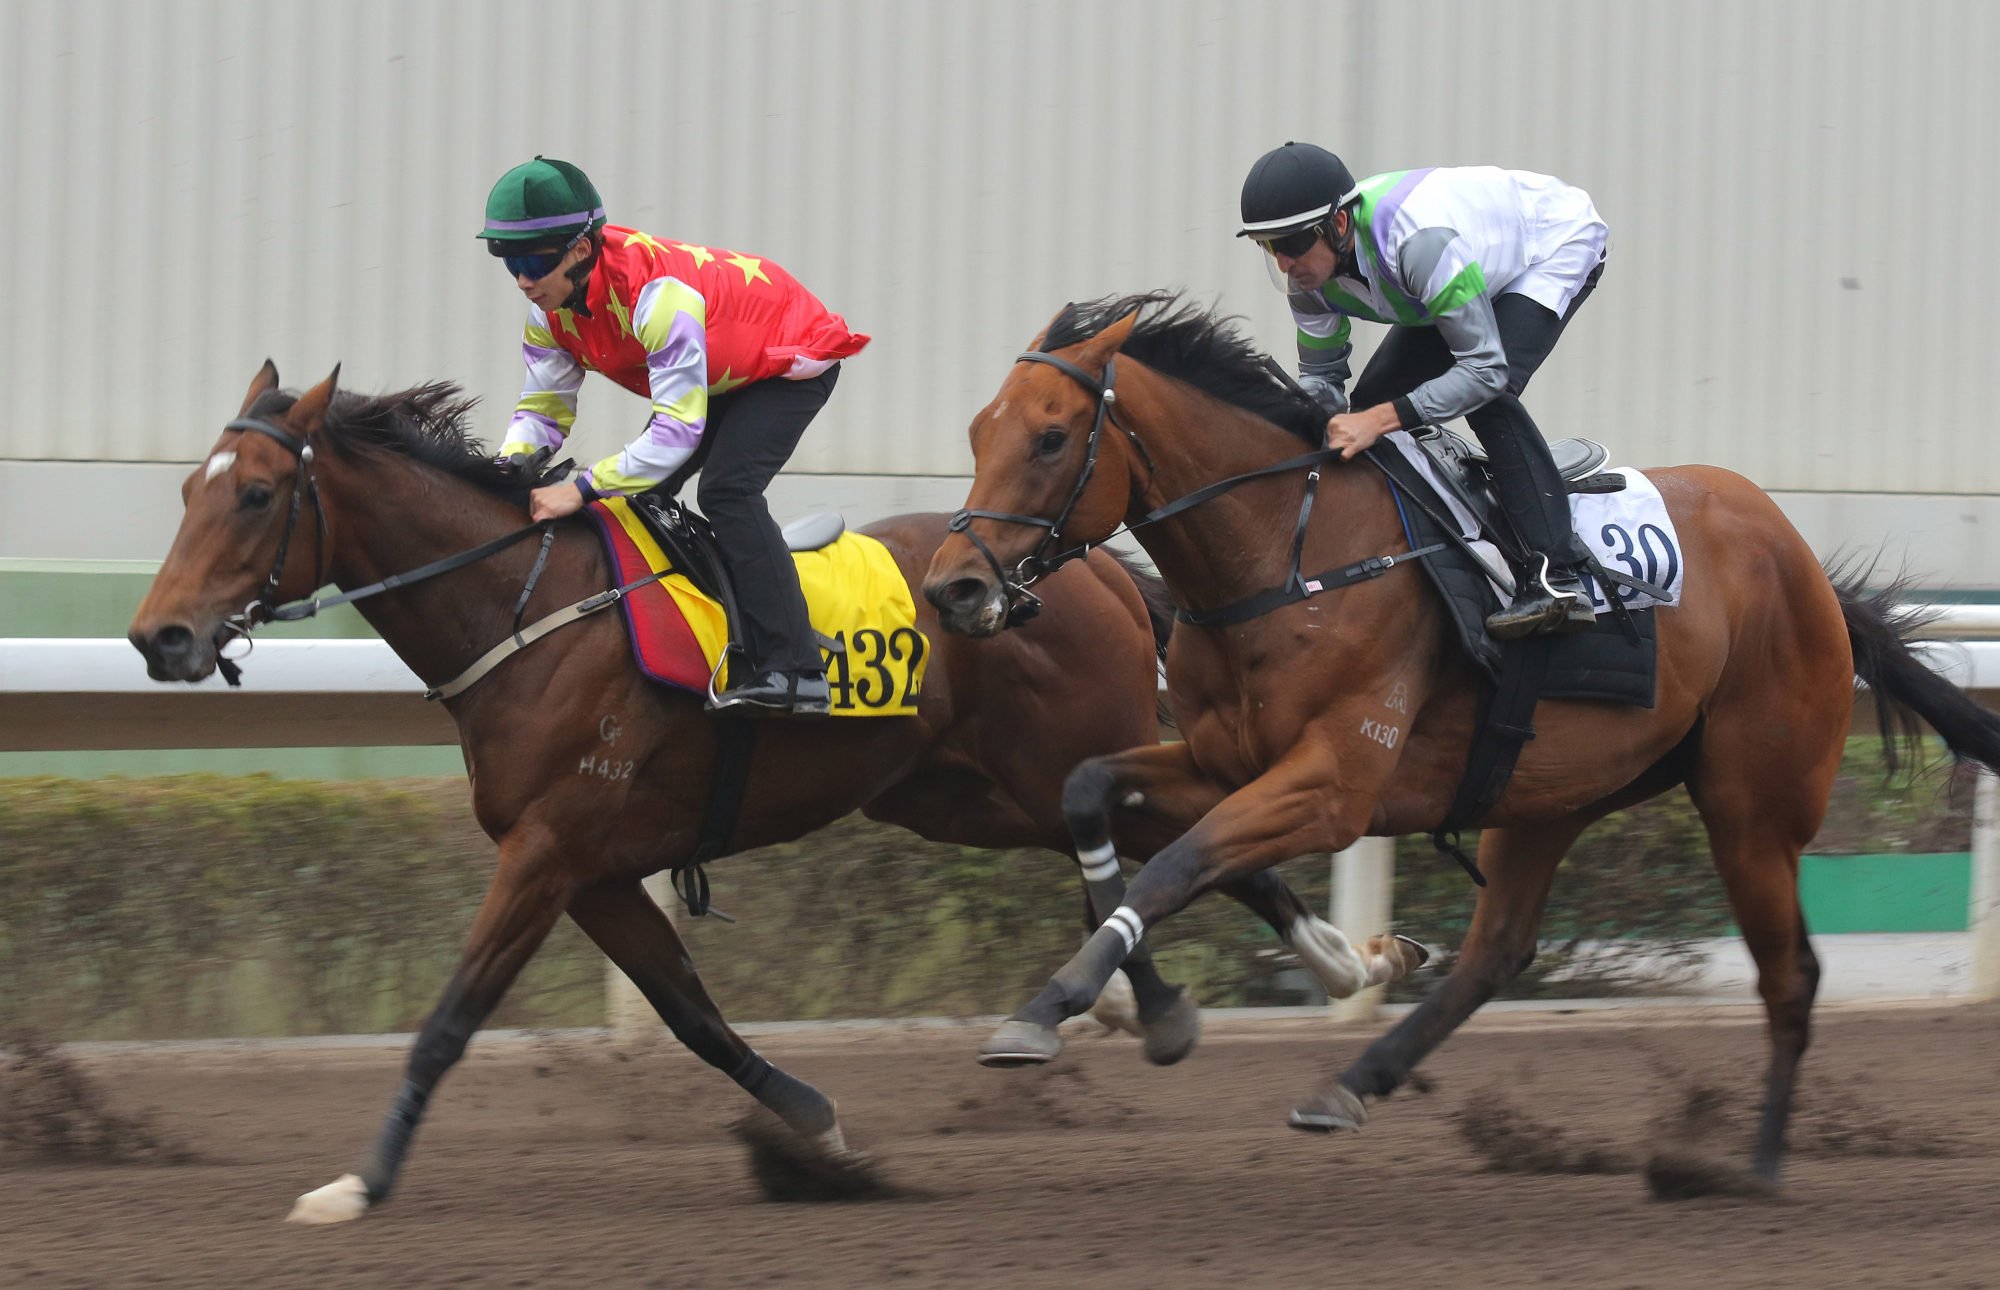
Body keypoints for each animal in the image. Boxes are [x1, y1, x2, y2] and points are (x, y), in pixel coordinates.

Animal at [129, 360, 1424, 1216]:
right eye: (187, 492)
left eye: (254, 495)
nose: (160, 637)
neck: (524, 610)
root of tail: (1090, 561)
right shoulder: (592, 869)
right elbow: (690, 1014)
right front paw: (815, 1129)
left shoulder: (548, 850)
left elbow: (449, 1019)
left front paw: (357, 1183)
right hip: (957, 794)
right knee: (1139, 836)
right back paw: (1278, 972)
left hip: (1044, 752)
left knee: (1171, 831)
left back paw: (1297, 969)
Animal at [920, 296, 2000, 1184]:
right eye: (977, 430)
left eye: (1051, 438)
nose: (953, 589)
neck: (1284, 558)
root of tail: (1805, 566)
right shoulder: (1222, 762)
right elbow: (1087, 794)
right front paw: (1145, 1007)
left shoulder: (1332, 787)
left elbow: (1176, 865)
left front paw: (1052, 1007)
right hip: (1546, 790)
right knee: (1497, 952)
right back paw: (1350, 1083)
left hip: (1751, 809)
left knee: (1790, 975)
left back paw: (1755, 1167)